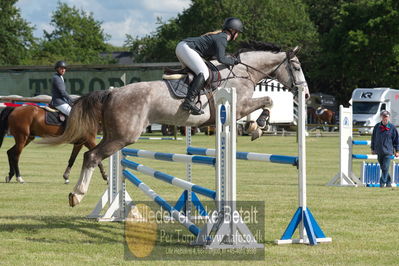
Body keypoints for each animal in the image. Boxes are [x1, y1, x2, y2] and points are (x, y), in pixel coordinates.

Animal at [41, 44, 310, 207]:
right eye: (296, 67)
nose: (306, 95)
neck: (242, 71)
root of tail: (112, 93)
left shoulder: (237, 109)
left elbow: (261, 106)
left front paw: (256, 127)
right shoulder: (239, 104)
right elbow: (268, 100)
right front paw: (260, 125)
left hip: (113, 134)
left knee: (90, 154)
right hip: (123, 137)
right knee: (92, 156)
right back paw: (76, 195)